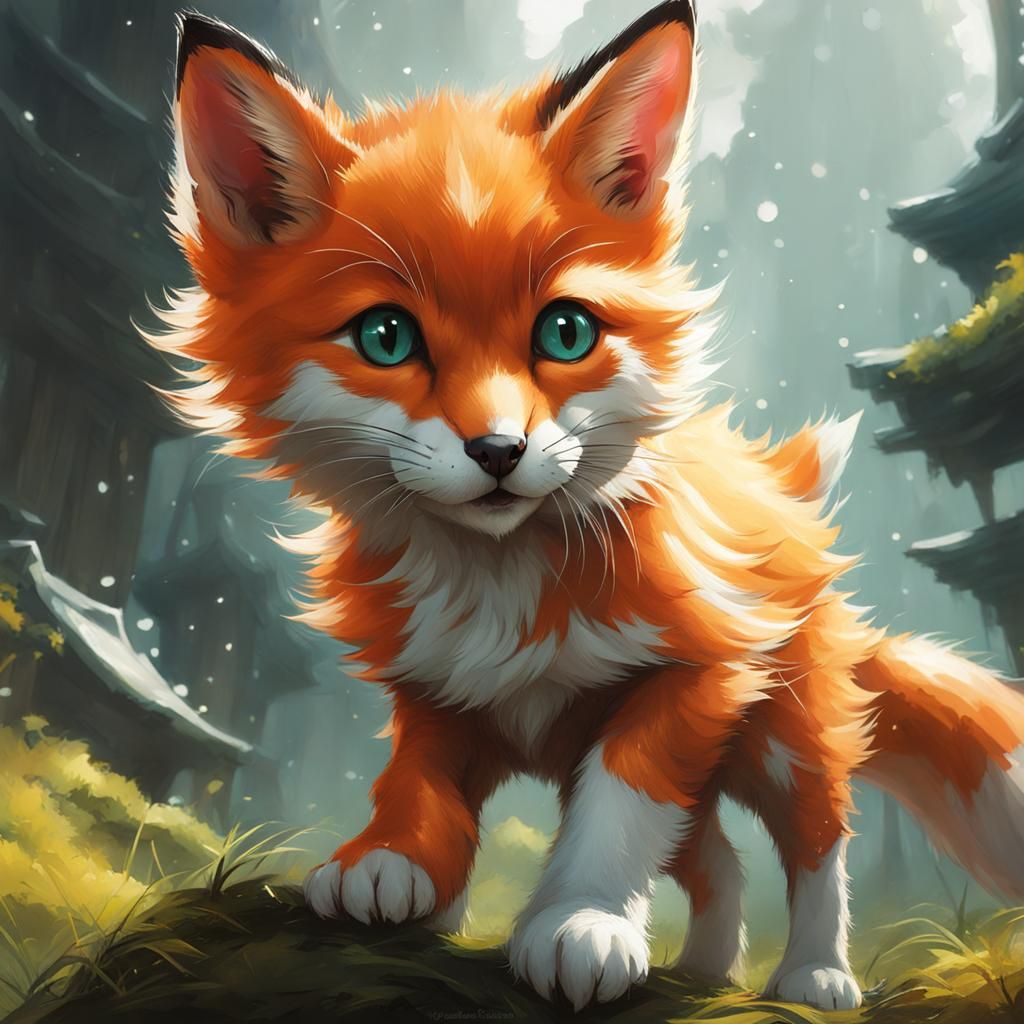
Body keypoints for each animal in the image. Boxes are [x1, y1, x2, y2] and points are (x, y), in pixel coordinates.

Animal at [147, 1, 1024, 1012]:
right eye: (386, 337)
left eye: (564, 333)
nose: (498, 452)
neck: (503, 588)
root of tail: (780, 487)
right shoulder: (437, 691)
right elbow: (422, 788)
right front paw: (400, 870)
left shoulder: (694, 678)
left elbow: (619, 806)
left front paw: (582, 918)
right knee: (719, 866)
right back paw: (705, 970)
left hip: (785, 739)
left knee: (817, 844)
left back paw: (813, 973)